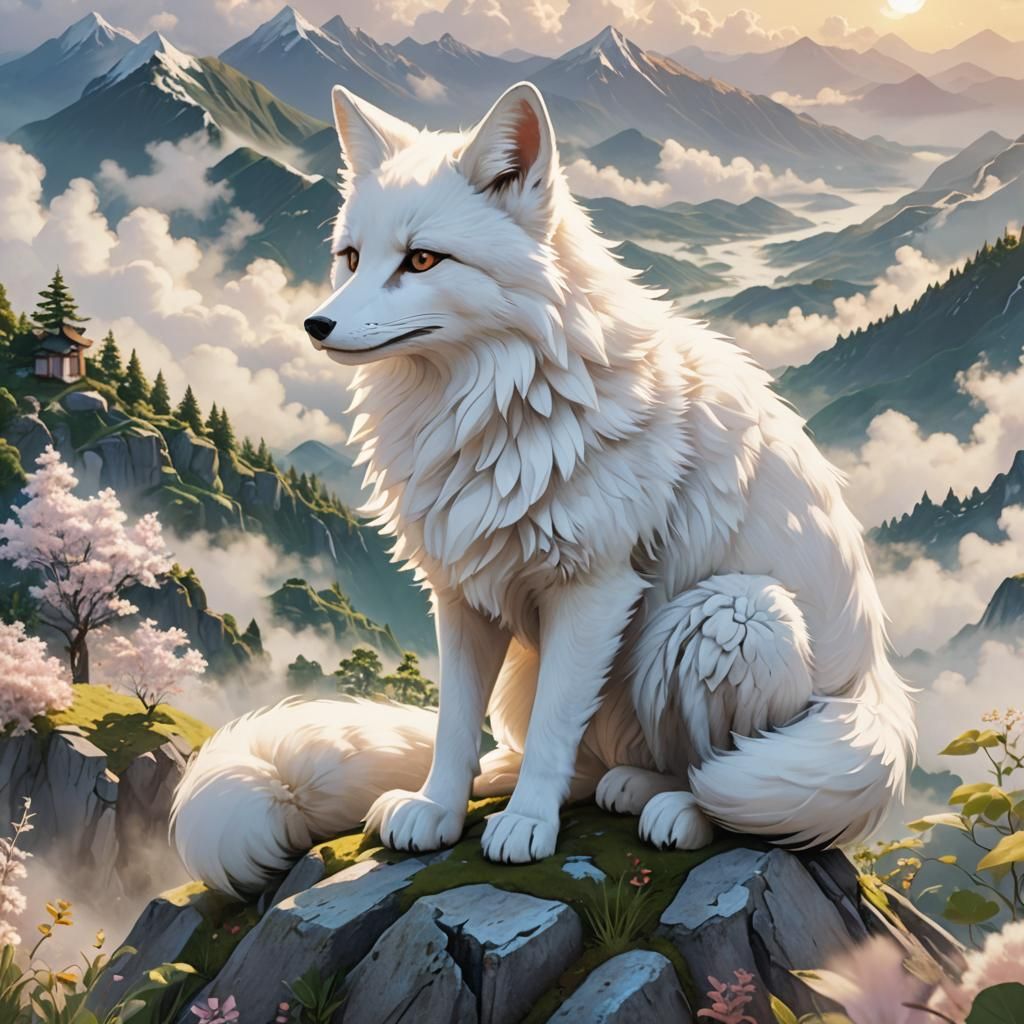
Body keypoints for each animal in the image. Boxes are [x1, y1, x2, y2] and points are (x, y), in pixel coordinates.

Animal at [170, 81, 916, 897]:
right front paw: (438, 810)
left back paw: (670, 806)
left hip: (731, 616)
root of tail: (877, 689)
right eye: (351, 257)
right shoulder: (460, 592)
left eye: (422, 259)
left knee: (710, 771)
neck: (501, 406)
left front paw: (528, 826)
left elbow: (561, 720)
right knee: (572, 758)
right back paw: (519, 775)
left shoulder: (595, 592)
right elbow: (453, 724)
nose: (315, 324)